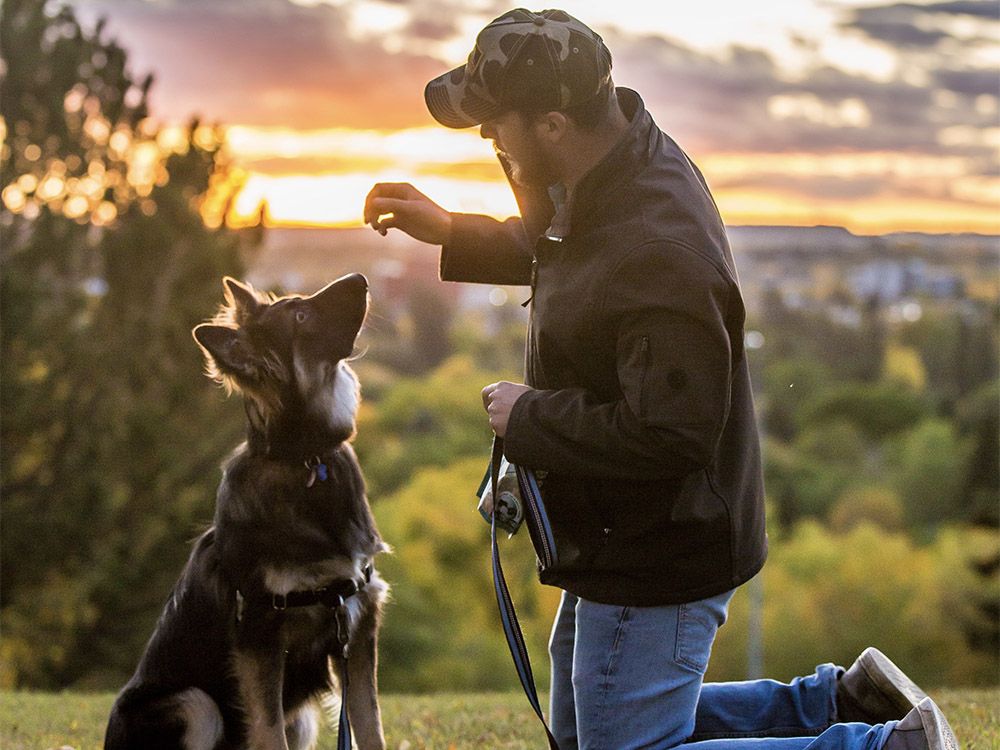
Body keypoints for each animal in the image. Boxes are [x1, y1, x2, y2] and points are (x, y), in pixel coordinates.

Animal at [104, 276, 390, 750]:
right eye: (300, 316)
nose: (362, 279)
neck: (305, 460)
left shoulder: (357, 627)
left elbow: (371, 728)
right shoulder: (260, 635)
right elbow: (268, 730)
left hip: (301, 719)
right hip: (195, 703)